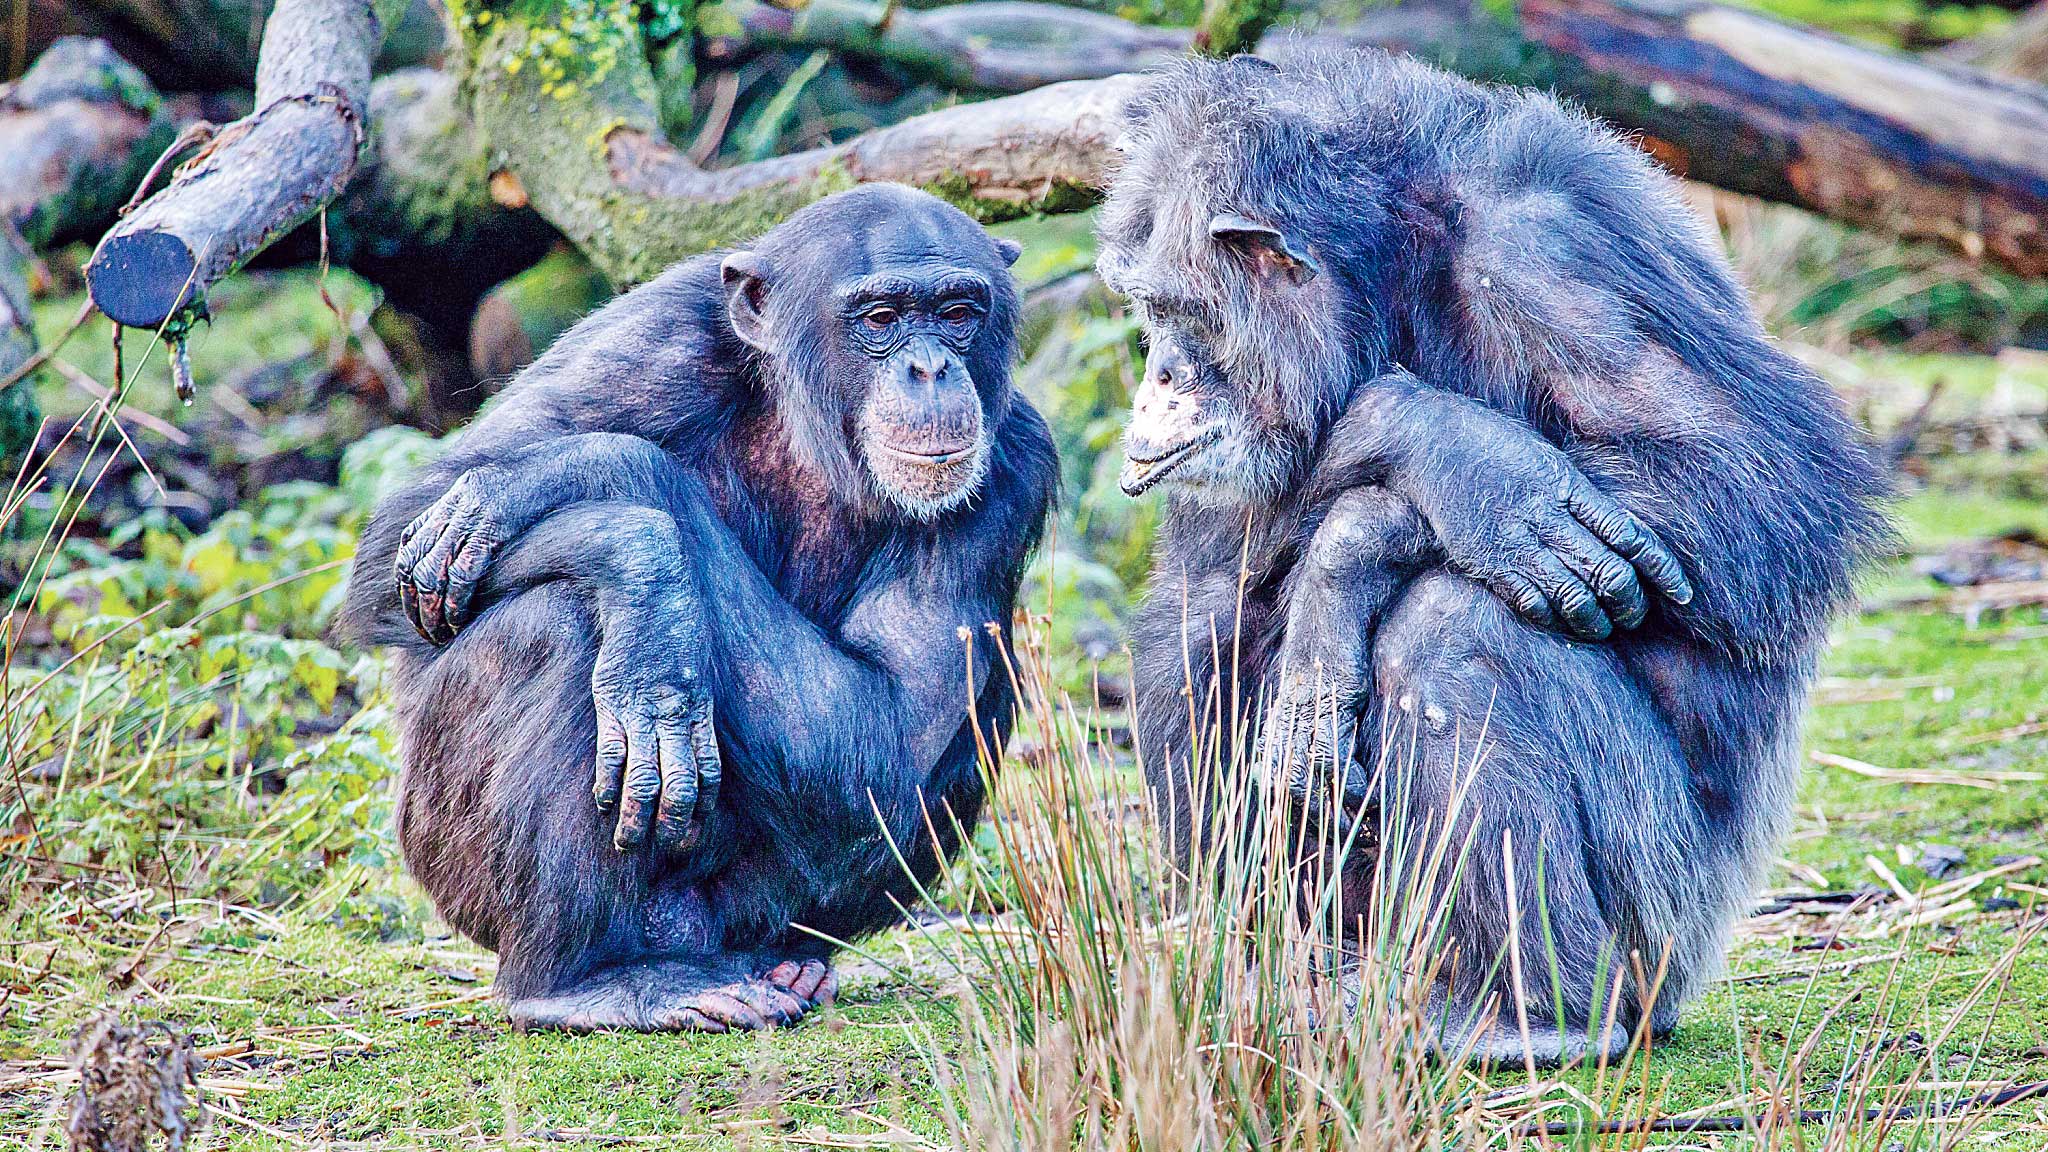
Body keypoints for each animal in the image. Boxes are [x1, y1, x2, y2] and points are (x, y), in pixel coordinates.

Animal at [339, 183, 1056, 1024]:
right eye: (880, 319)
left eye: (957, 312)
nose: (931, 367)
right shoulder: (650, 342)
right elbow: (402, 536)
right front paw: (631, 555)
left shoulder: (1013, 467)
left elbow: (885, 731)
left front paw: (572, 483)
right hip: (451, 871)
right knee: (551, 622)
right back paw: (580, 983)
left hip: (752, 912)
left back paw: (784, 967)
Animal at [1105, 51, 1884, 1057]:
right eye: (1145, 310)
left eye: (1180, 310)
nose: (1156, 371)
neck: (1385, 270)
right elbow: (1207, 567)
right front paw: (1460, 475)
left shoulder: (1555, 257)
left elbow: (1762, 486)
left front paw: (1423, 480)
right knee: (1194, 634)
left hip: (1666, 920)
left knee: (1455, 634)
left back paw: (1534, 1016)